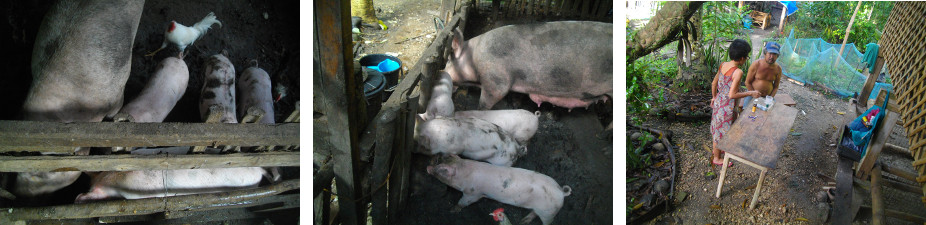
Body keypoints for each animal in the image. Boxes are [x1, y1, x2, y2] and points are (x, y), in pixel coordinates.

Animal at [428, 155, 572, 225]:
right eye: (439, 158)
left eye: (442, 170)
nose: (428, 166)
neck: (464, 172)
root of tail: (561, 192)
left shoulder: (473, 194)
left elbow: (463, 202)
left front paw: (452, 210)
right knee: (533, 213)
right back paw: (522, 221)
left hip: (549, 213)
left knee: (547, 221)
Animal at [444, 21, 612, 110]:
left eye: (448, 60)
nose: (442, 71)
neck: (473, 57)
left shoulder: (495, 79)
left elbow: (486, 101)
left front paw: (479, 110)